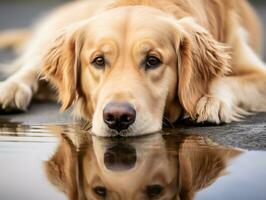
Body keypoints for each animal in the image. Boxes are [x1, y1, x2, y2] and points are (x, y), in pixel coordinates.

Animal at [0, 0, 264, 136]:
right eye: (98, 61)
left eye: (152, 60)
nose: (117, 118)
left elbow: (226, 80)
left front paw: (211, 101)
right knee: (34, 63)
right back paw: (10, 89)